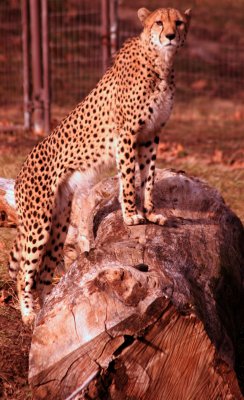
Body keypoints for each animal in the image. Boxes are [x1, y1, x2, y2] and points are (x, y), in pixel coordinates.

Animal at [9, 7, 192, 324]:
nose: (170, 35)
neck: (160, 61)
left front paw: (150, 212)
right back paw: (29, 314)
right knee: (24, 274)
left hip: (57, 226)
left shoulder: (151, 135)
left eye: (178, 22)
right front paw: (132, 215)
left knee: (44, 275)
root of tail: (21, 173)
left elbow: (148, 177)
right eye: (159, 22)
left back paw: (44, 314)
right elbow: (129, 179)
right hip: (39, 224)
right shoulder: (127, 134)